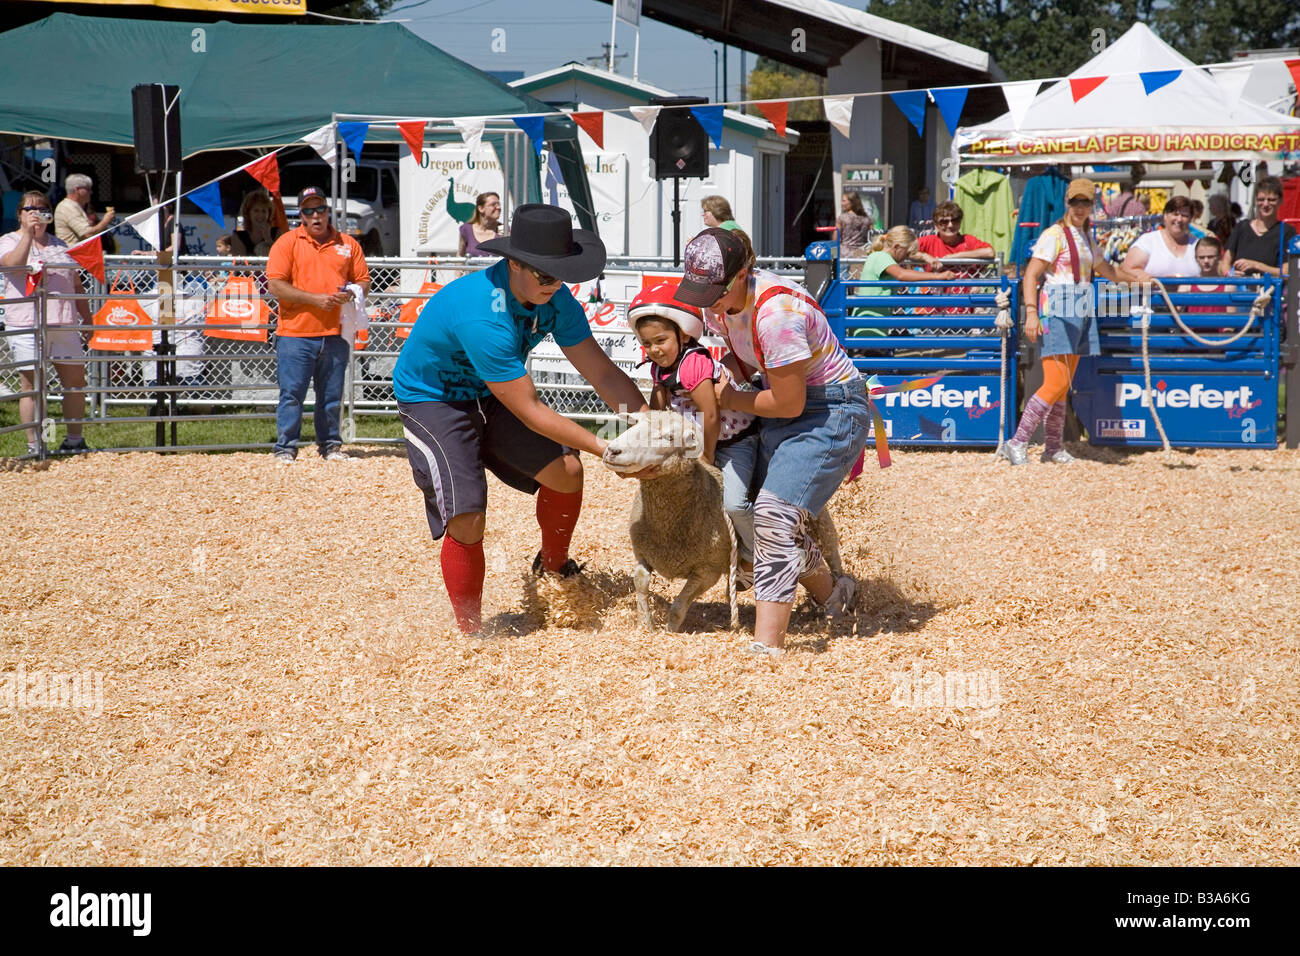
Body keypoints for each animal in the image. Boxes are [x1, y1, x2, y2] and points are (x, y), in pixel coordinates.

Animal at [603, 408, 847, 632]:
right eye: (634, 425)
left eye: (669, 437)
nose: (612, 451)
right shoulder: (643, 554)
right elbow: (640, 583)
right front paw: (645, 625)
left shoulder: (708, 571)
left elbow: (679, 605)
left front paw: (671, 631)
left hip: (819, 521)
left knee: (830, 553)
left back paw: (841, 596)